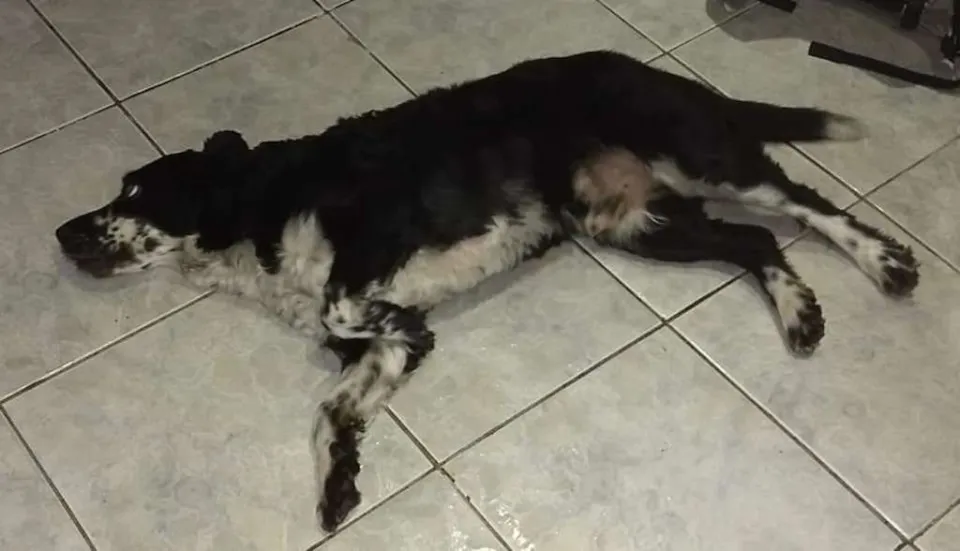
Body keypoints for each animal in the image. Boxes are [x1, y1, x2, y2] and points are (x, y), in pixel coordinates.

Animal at [55, 50, 919, 532]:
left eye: (134, 191)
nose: (61, 233)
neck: (256, 204)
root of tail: (643, 65)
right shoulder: (382, 353)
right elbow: (332, 408)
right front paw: (339, 477)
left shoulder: (378, 230)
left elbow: (348, 305)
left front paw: (387, 315)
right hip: (632, 218)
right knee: (757, 241)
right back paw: (799, 312)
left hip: (698, 158)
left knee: (806, 205)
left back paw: (886, 262)